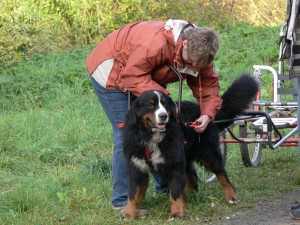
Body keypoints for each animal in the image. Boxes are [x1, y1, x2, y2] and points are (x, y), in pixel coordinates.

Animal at [121, 74, 258, 219]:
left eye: (165, 104)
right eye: (150, 105)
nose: (164, 115)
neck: (151, 137)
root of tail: (204, 112)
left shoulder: (174, 164)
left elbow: (175, 192)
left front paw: (176, 213)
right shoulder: (136, 165)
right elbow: (133, 193)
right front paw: (128, 214)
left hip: (207, 153)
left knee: (222, 174)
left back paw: (232, 196)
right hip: (185, 156)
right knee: (192, 175)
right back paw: (190, 196)